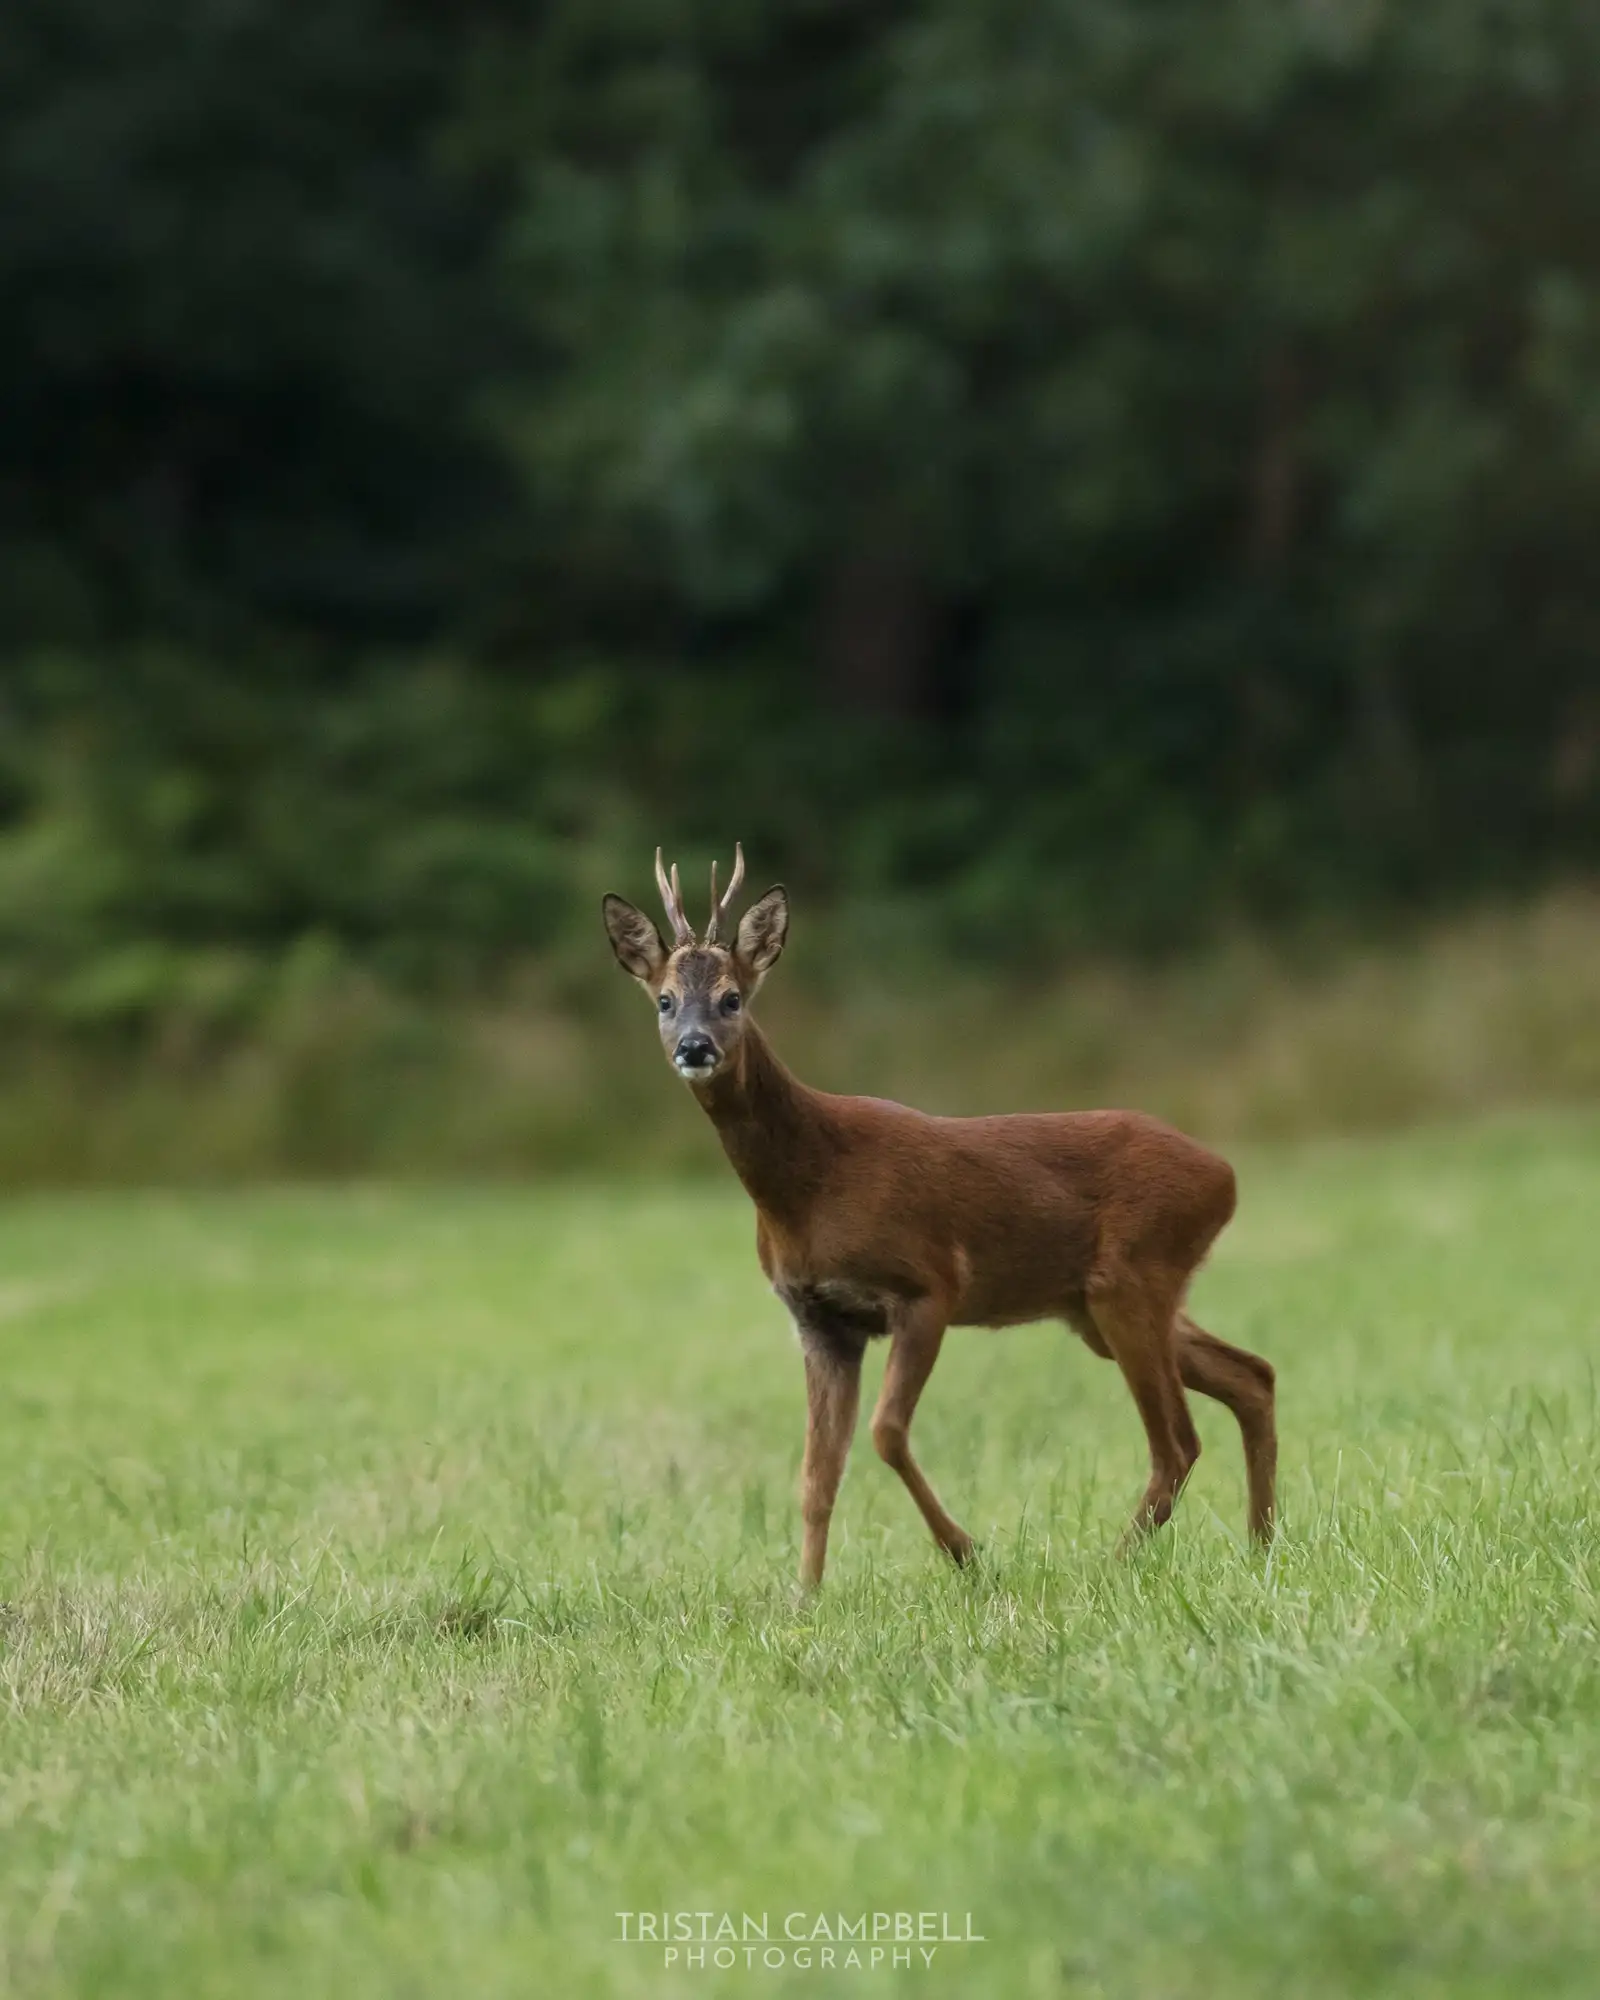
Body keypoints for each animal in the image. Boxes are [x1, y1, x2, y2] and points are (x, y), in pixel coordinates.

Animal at [602, 845, 1277, 1590]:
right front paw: (804, 1598)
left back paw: (1114, 1564)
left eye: (732, 997)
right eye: (665, 1000)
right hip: (1097, 1307)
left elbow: (885, 1433)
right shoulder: (820, 1321)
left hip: (1131, 1279)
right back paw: (1261, 1545)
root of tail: (1224, 1175)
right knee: (1253, 1376)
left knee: (1178, 1441)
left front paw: (967, 1553)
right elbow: (816, 1476)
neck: (810, 1186)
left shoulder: (928, 1285)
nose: (694, 1047)